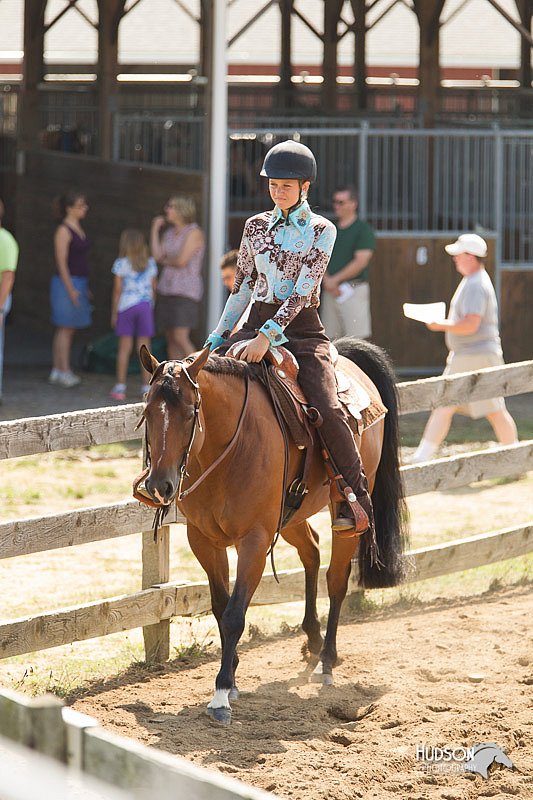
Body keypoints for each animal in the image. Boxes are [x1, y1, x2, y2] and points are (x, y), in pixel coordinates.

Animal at [138, 338, 408, 724]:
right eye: (147, 412)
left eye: (190, 413)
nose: (159, 486)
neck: (229, 447)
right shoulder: (203, 540)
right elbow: (220, 607)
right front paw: (233, 675)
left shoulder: (255, 540)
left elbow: (235, 614)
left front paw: (222, 692)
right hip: (291, 517)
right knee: (311, 551)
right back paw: (312, 640)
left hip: (347, 510)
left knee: (336, 579)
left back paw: (326, 661)